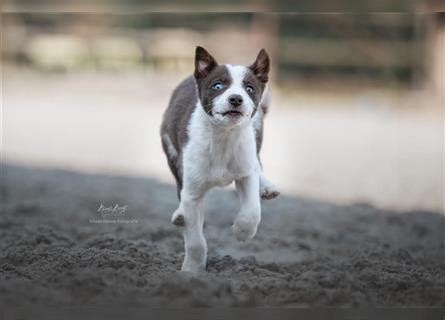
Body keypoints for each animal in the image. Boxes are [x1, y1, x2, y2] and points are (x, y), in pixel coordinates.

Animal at [159, 46, 278, 272]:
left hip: (256, 131)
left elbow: (252, 210)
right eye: (218, 86)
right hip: (171, 151)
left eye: (249, 88)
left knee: (258, 162)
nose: (236, 99)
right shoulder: (192, 193)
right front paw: (191, 271)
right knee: (180, 187)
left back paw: (267, 186)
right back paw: (180, 215)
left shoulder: (245, 171)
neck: (224, 136)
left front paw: (242, 231)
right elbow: (195, 239)